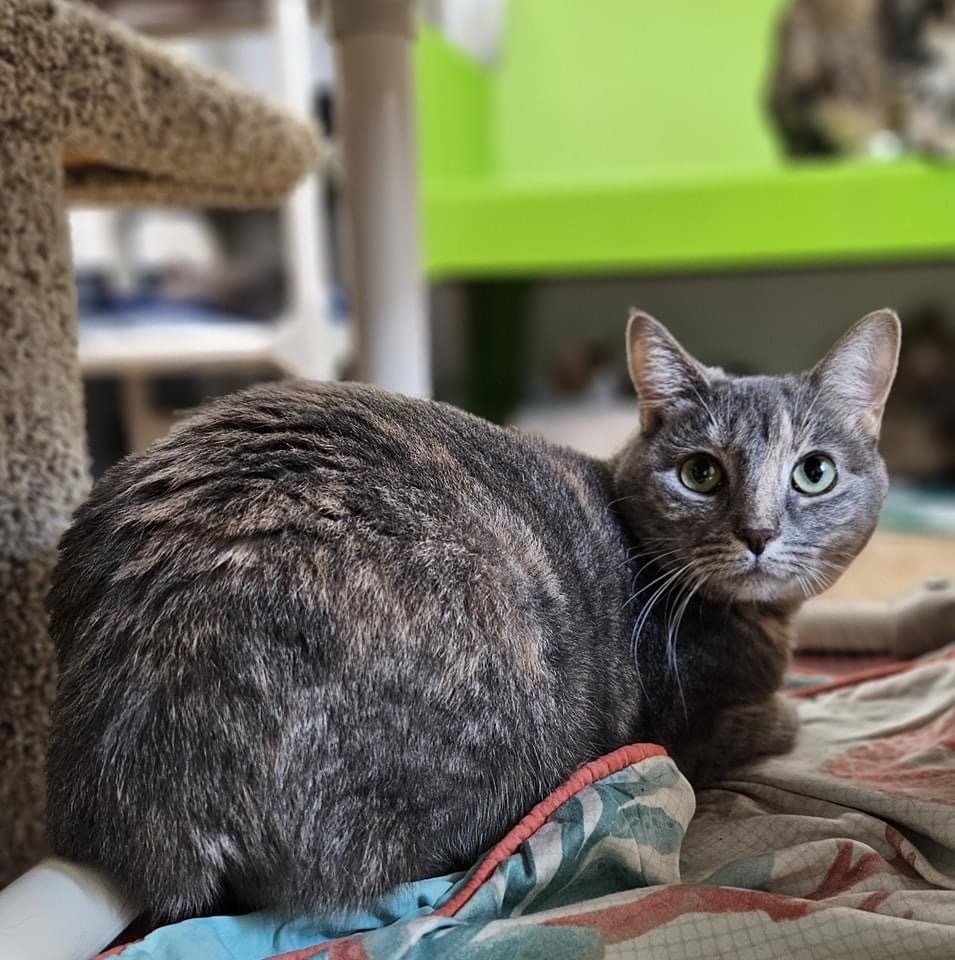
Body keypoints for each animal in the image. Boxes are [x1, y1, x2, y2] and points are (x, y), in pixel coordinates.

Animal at [46, 312, 904, 920]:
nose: (757, 533)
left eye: (813, 473)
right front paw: (794, 710)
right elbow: (776, 718)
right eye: (700, 473)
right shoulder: (695, 728)